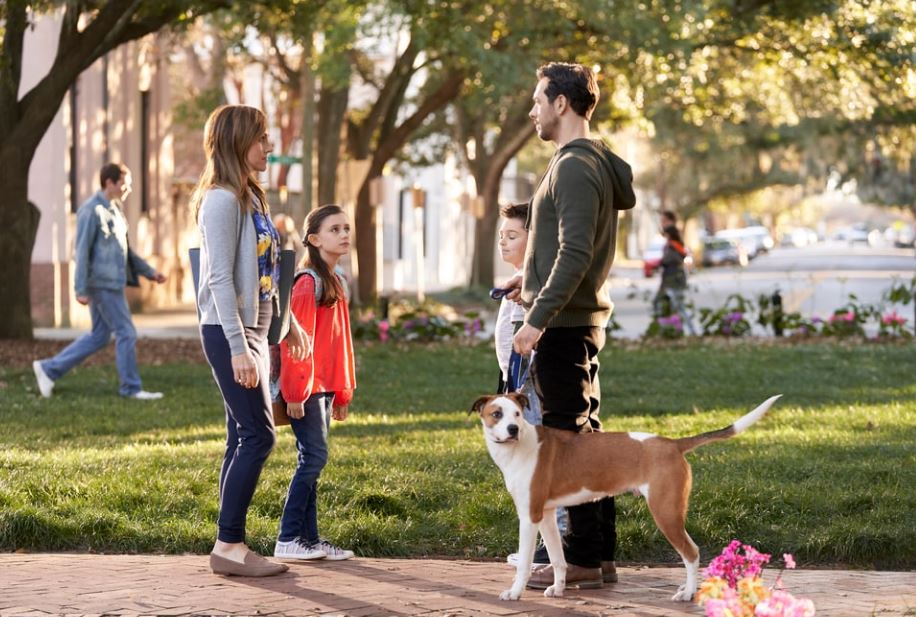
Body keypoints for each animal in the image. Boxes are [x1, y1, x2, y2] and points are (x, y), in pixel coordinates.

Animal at [472, 392, 780, 600]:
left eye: (517, 414)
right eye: (497, 413)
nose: (513, 429)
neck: (520, 447)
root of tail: (673, 444)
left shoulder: (529, 517)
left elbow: (524, 563)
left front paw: (514, 592)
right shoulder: (545, 515)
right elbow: (558, 559)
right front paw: (558, 588)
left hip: (665, 512)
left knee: (691, 552)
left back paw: (688, 593)